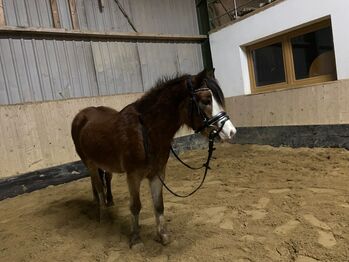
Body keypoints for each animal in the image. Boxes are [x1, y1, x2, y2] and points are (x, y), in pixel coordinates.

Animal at [71, 69, 235, 248]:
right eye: (206, 100)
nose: (231, 132)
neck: (146, 132)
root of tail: (81, 115)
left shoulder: (157, 173)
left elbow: (159, 205)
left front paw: (163, 235)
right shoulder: (133, 176)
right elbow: (135, 206)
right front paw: (136, 239)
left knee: (104, 179)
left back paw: (108, 203)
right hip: (90, 163)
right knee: (99, 186)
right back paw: (103, 215)